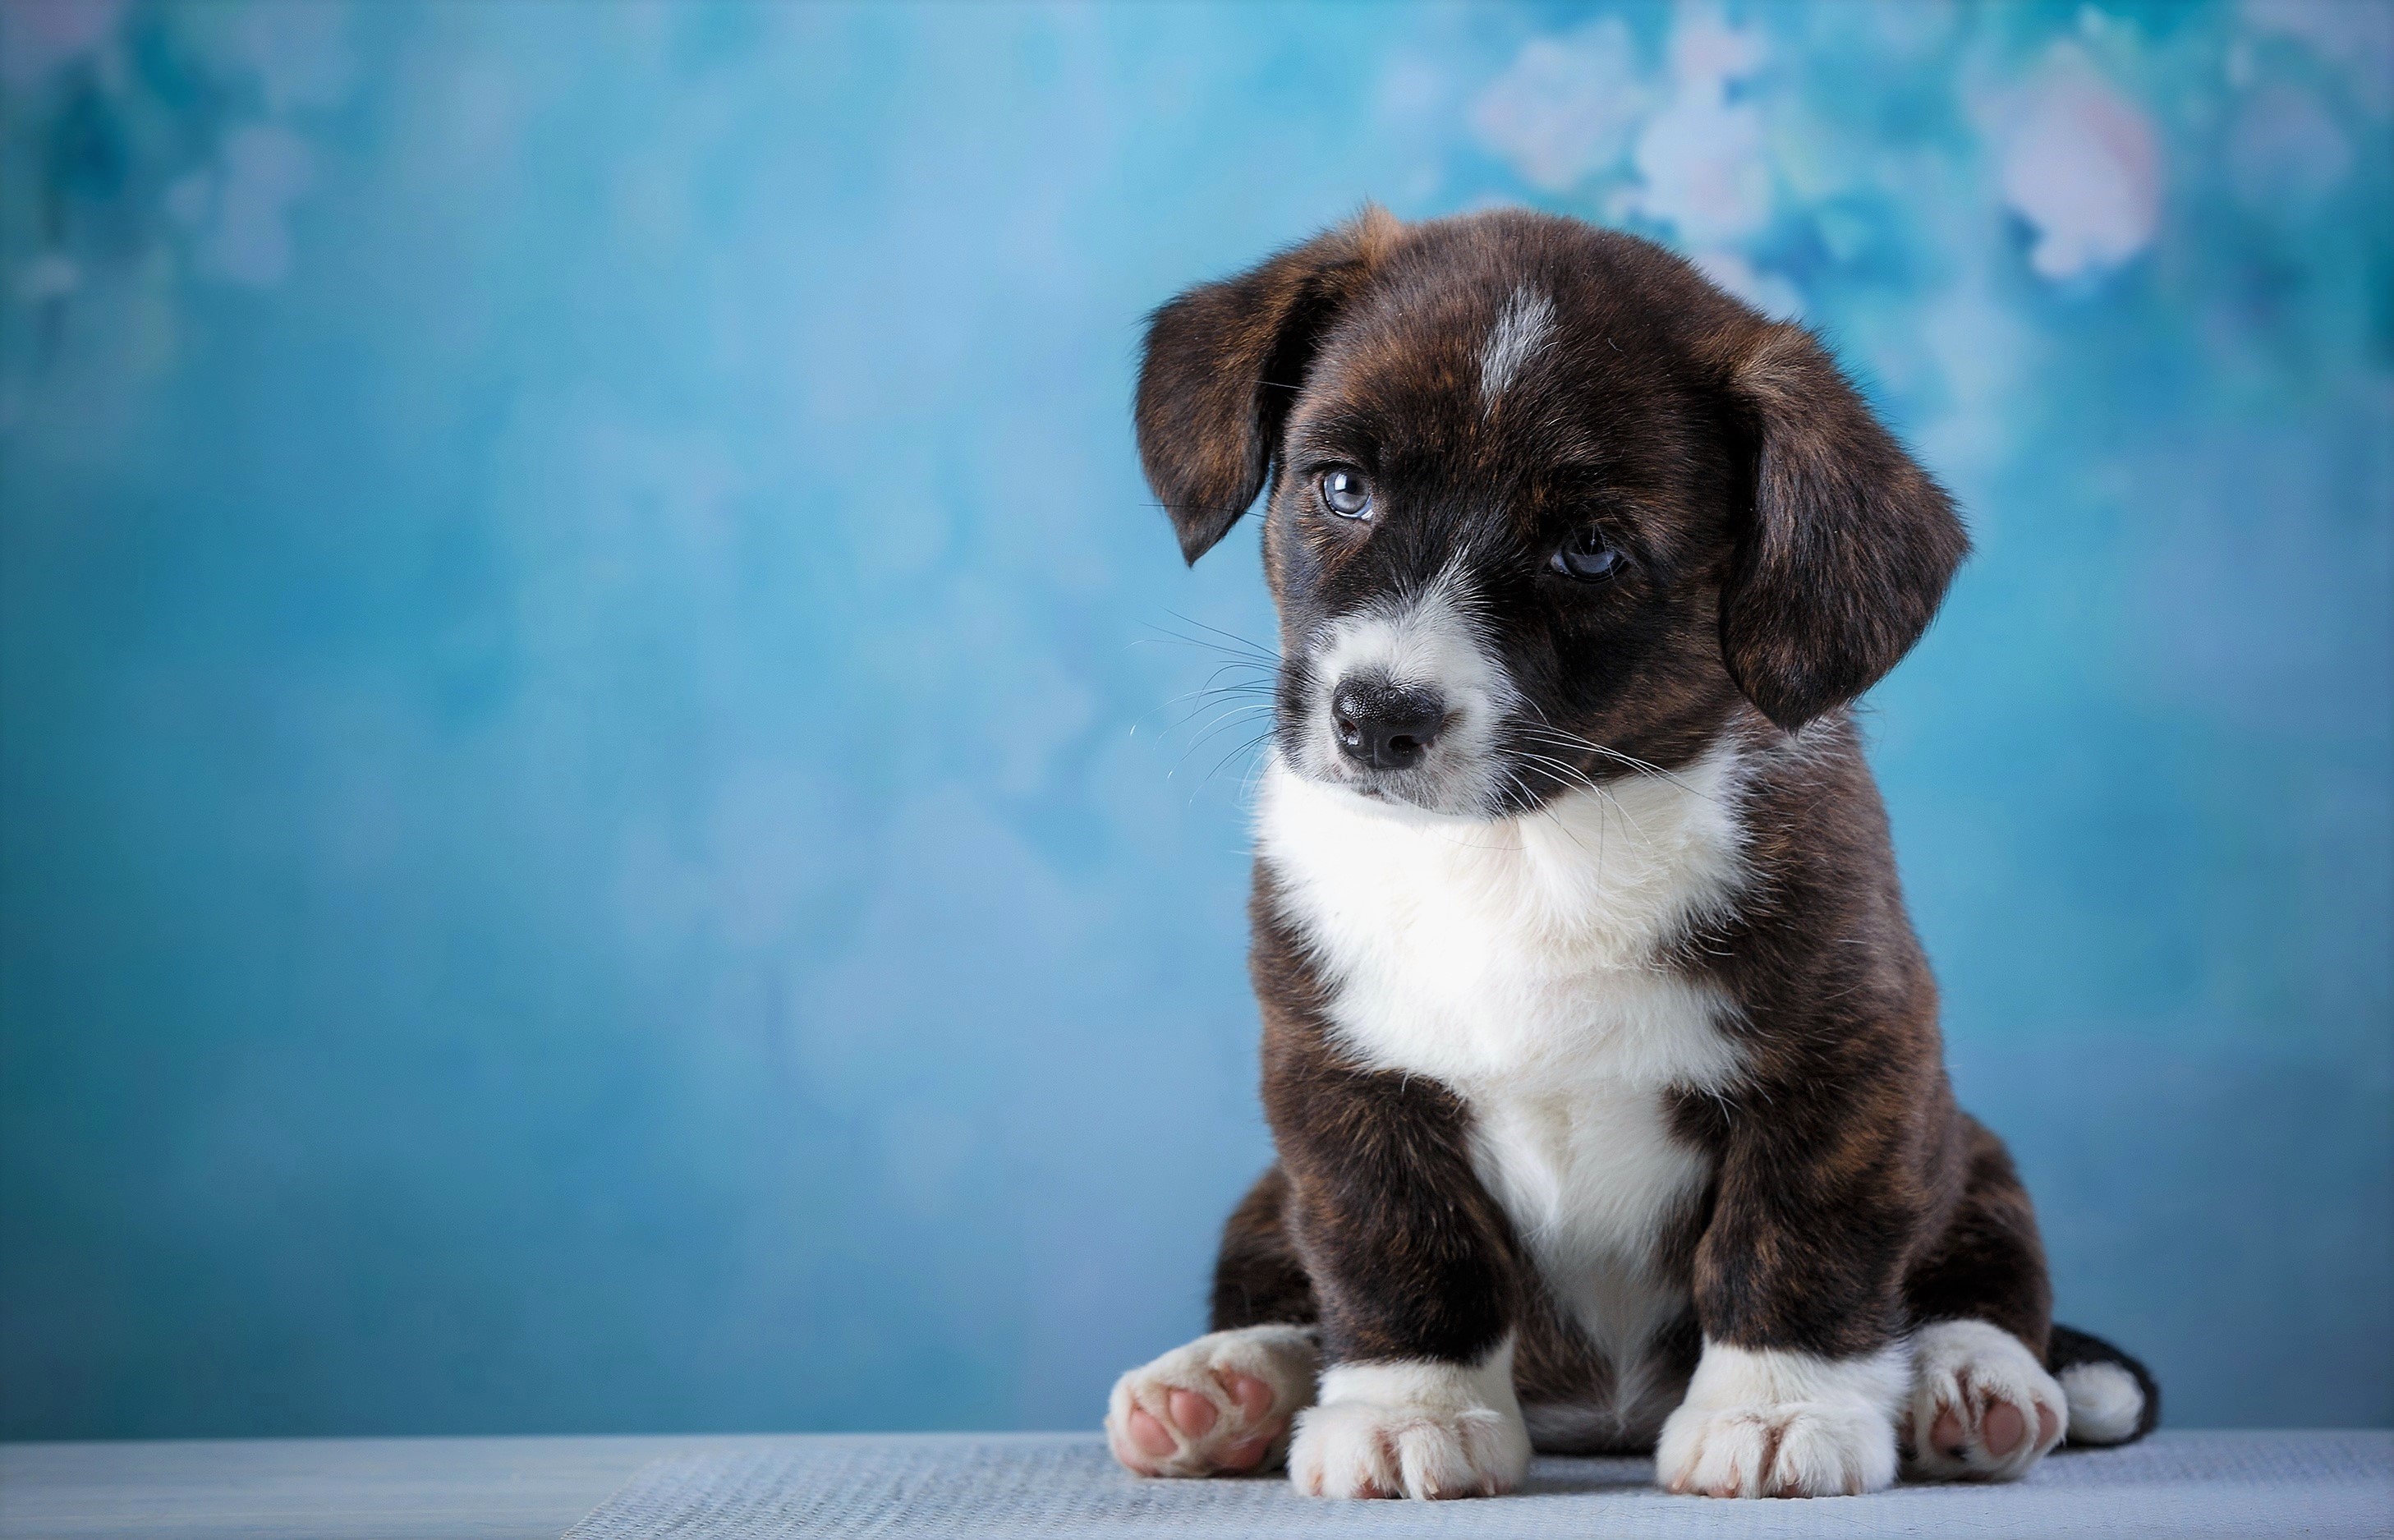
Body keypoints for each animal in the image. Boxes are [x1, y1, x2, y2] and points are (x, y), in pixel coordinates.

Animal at [1110, 210, 2164, 1504]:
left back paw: (1970, 1383)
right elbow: (1396, 1247)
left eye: (1589, 550)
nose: (1376, 717)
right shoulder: (1338, 1075)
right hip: (1267, 1186)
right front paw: (1407, 1412)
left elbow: (1793, 1235)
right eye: (1342, 486)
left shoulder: (1848, 1057)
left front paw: (1774, 1410)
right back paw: (1225, 1386)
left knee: (1985, 1282)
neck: (1529, 844)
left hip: (1970, 1149)